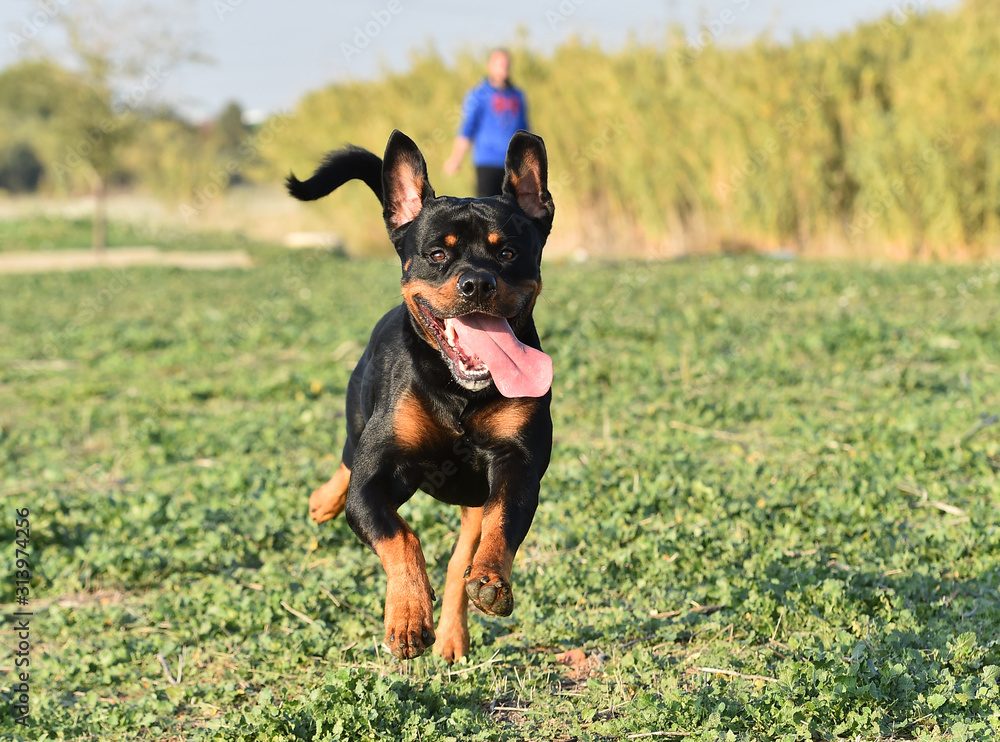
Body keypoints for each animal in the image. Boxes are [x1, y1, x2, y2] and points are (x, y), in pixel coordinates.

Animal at [288, 129, 556, 664]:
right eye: (437, 254)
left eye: (508, 253)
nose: (477, 283)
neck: (458, 391)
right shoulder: (375, 479)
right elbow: (401, 536)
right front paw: (408, 615)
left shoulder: (518, 464)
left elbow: (500, 525)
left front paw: (490, 580)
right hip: (358, 422)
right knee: (345, 463)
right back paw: (322, 502)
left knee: (459, 559)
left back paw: (454, 632)